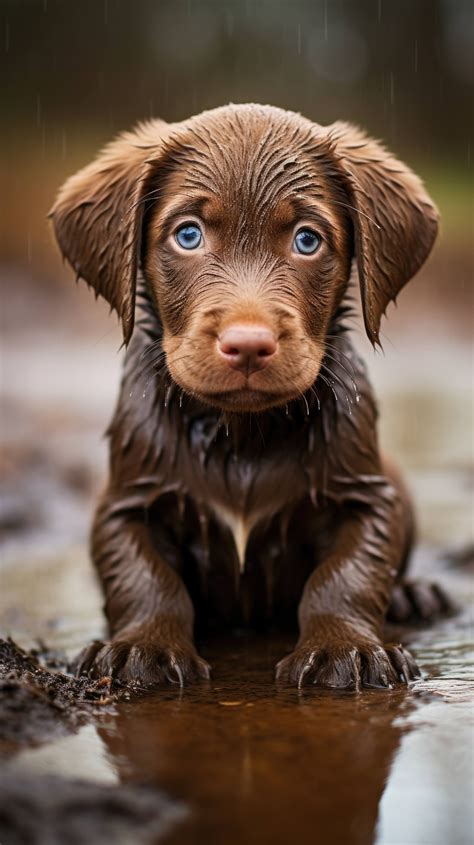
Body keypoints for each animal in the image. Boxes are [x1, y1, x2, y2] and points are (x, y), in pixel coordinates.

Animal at [51, 104, 444, 684]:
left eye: (307, 240)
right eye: (188, 235)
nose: (249, 345)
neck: (240, 434)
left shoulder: (367, 497)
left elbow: (346, 576)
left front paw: (344, 648)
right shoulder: (126, 502)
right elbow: (146, 580)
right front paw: (142, 647)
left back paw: (414, 595)